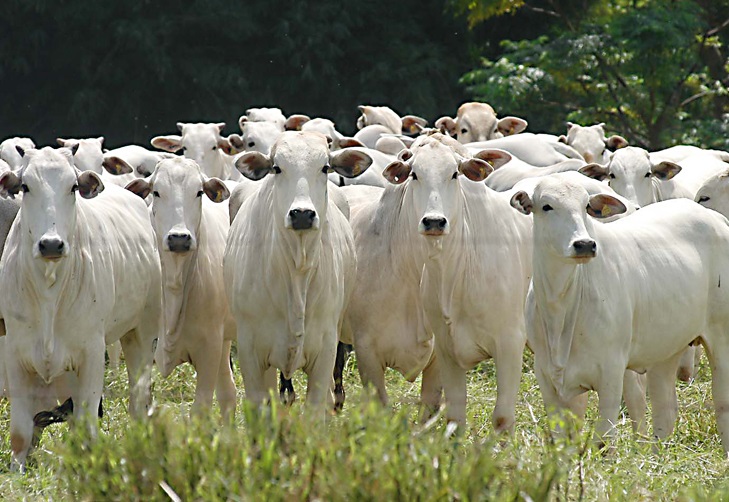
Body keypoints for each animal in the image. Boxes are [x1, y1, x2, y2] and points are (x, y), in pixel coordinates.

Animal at [225, 129, 372, 412]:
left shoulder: (325, 350)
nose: (302, 214)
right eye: (277, 168)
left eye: (324, 167)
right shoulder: (250, 352)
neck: (297, 271)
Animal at [510, 174, 729, 452]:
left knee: (722, 402)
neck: (561, 307)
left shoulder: (611, 373)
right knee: (665, 410)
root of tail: (717, 218)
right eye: (547, 206)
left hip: (721, 338)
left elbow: (603, 440)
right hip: (666, 348)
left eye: (586, 206)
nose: (584, 244)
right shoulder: (547, 377)